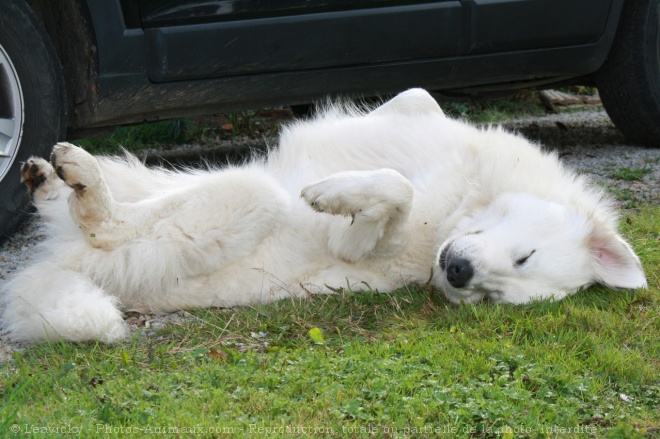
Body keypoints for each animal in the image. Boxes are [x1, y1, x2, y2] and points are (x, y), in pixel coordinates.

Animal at [0, 89, 648, 344]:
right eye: (525, 255)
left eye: (497, 296)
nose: (459, 275)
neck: (462, 201)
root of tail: (65, 266)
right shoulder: (420, 114)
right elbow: (412, 107)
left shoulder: (357, 244)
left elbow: (393, 192)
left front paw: (332, 195)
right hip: (160, 180)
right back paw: (47, 179)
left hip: (243, 197)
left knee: (112, 224)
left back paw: (82, 186)